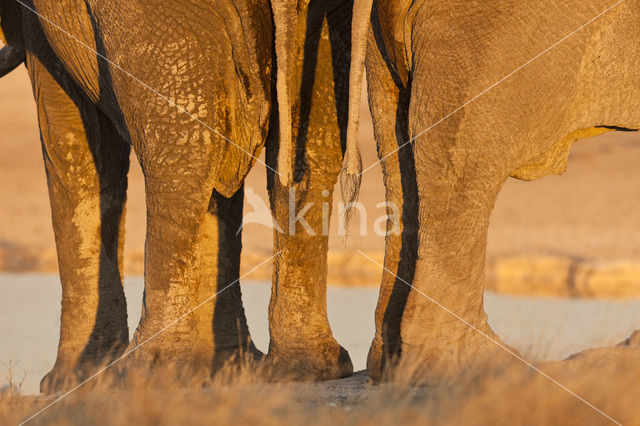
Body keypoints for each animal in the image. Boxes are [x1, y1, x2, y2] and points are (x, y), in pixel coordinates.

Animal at [1, 0, 370, 392]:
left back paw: (146, 372)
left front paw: (70, 383)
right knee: (307, 143)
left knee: (181, 147)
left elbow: (71, 137)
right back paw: (305, 369)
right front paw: (222, 368)